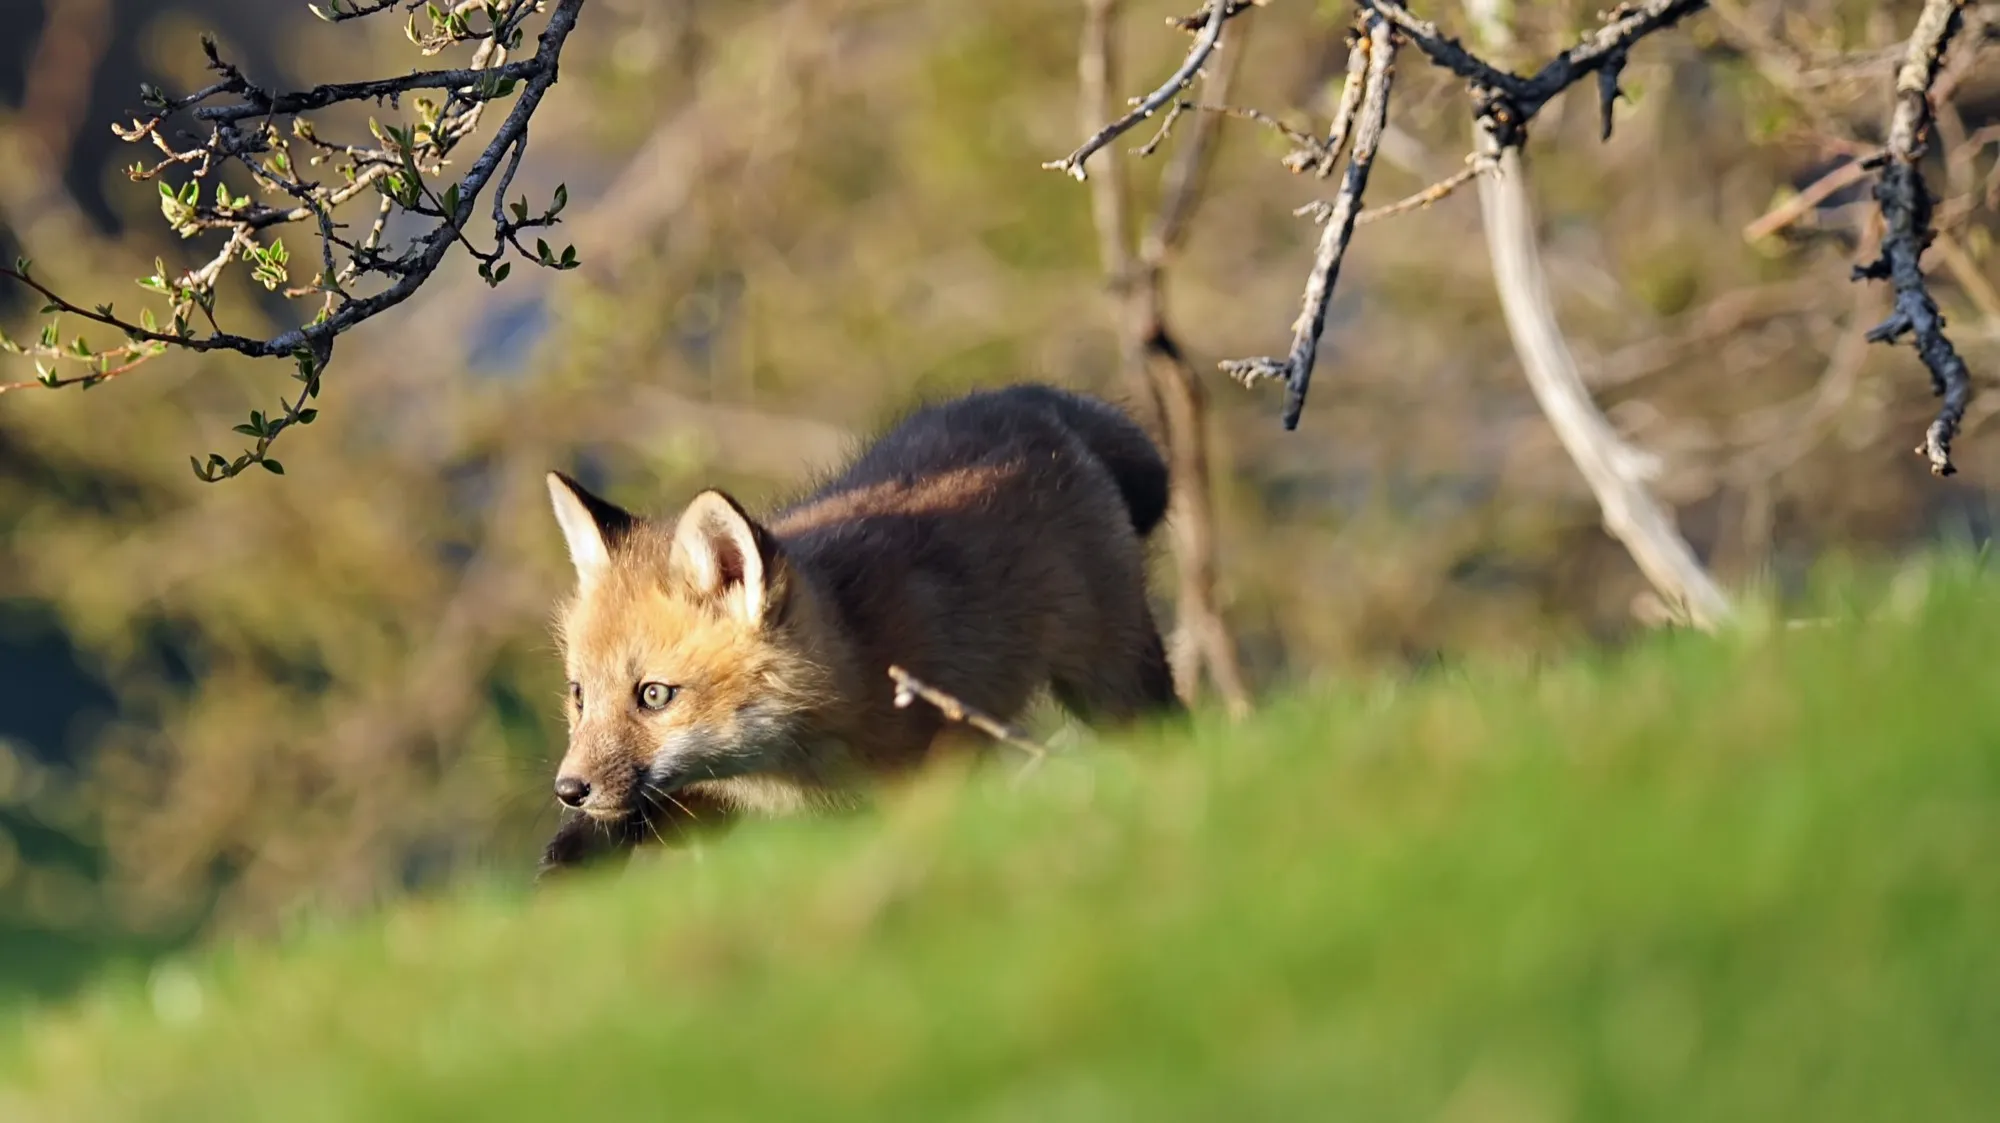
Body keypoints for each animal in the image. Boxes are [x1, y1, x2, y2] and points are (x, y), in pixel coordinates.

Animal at [535, 383, 1183, 878]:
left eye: (653, 695)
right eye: (578, 696)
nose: (569, 790)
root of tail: (1024, 395)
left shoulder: (930, 774)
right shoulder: (703, 802)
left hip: (1110, 681)